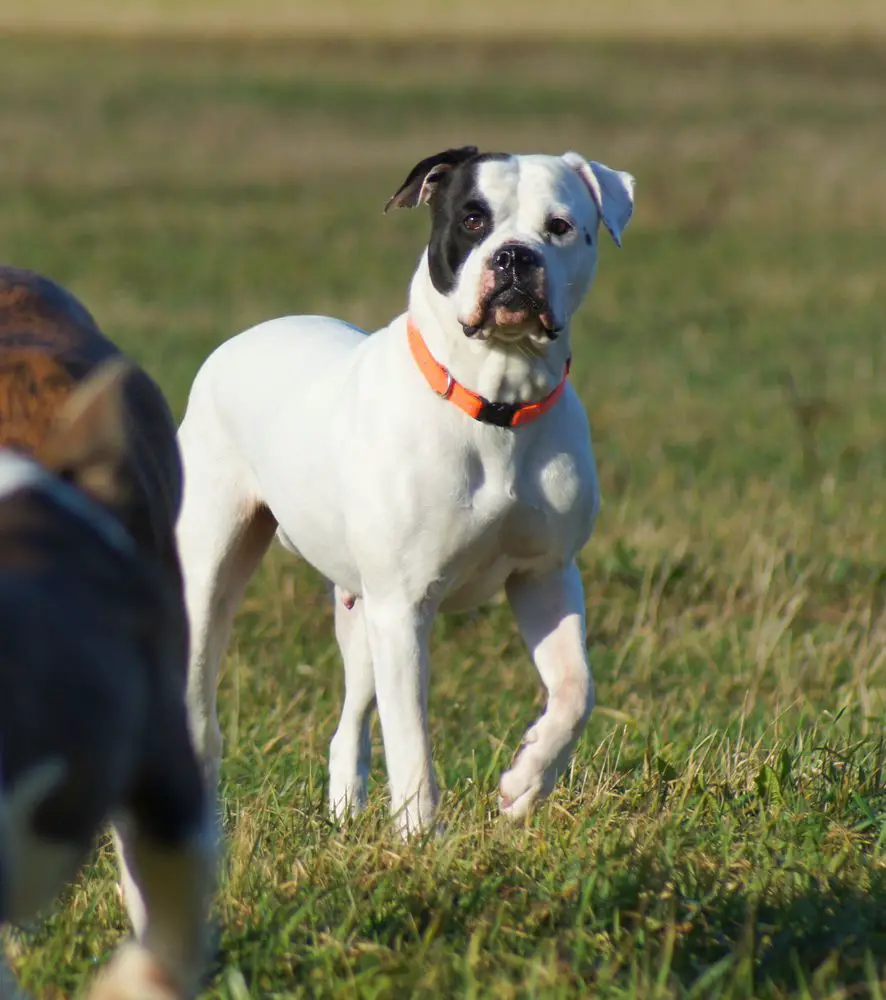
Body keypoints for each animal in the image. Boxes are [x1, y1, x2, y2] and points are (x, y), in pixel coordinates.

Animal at [180, 146, 636, 836]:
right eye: (472, 219)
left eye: (559, 226)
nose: (514, 257)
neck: (496, 403)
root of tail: (242, 339)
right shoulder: (405, 606)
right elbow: (413, 739)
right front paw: (423, 837)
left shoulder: (545, 575)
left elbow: (575, 690)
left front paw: (526, 781)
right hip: (213, 571)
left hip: (362, 611)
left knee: (349, 722)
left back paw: (345, 813)